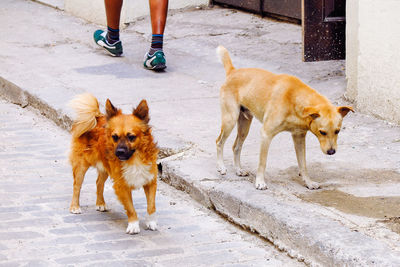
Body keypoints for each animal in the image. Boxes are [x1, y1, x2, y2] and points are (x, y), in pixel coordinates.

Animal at [69, 93, 158, 234]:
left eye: (131, 137)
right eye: (114, 137)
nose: (119, 151)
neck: (134, 158)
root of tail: (97, 117)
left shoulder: (150, 181)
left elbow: (151, 205)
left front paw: (151, 222)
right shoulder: (122, 186)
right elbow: (131, 208)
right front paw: (133, 225)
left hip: (105, 167)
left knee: (99, 183)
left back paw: (100, 203)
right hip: (81, 166)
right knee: (77, 185)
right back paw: (75, 206)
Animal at [216, 47, 354, 192]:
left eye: (338, 131)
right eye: (322, 132)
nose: (332, 152)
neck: (294, 98)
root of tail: (233, 71)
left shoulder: (299, 137)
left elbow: (303, 164)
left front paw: (309, 182)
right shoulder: (266, 134)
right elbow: (262, 162)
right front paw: (260, 182)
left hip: (244, 126)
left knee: (236, 146)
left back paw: (238, 169)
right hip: (230, 120)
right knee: (219, 142)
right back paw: (221, 167)